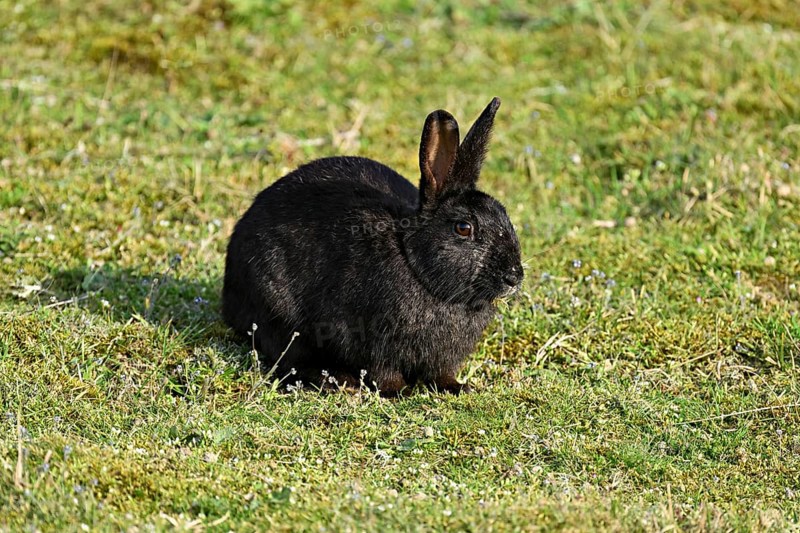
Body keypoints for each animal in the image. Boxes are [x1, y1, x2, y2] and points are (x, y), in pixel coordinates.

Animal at [222, 97, 523, 395]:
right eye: (463, 228)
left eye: (504, 215)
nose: (514, 277)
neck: (416, 265)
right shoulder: (369, 340)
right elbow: (382, 370)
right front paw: (399, 391)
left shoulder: (442, 357)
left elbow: (440, 373)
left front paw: (458, 387)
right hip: (279, 316)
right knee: (290, 359)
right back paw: (339, 381)